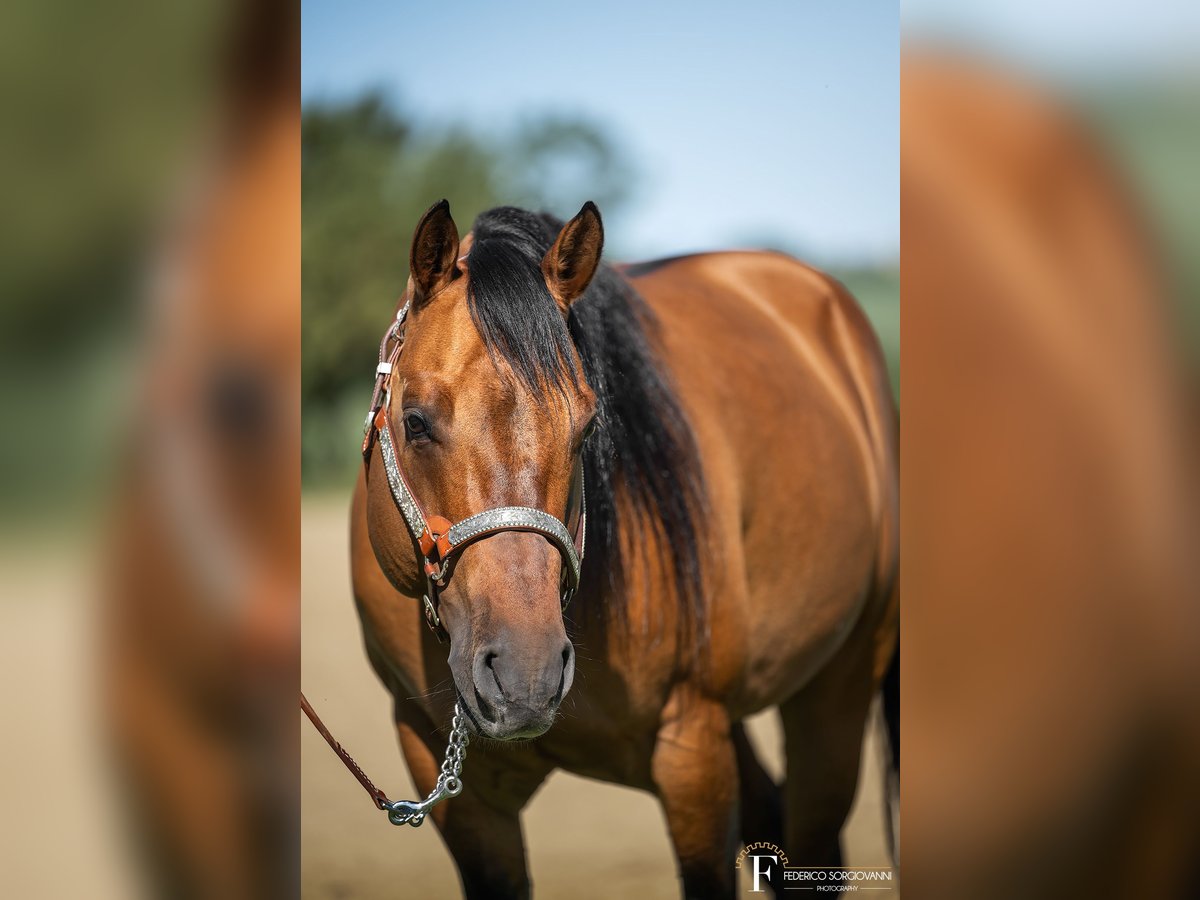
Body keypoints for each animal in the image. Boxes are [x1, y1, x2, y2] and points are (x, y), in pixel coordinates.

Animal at [350, 200, 897, 897]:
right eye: (415, 421)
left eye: (587, 428)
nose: (526, 676)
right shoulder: (449, 784)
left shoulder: (693, 749)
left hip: (841, 682)